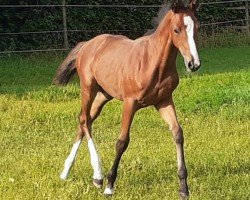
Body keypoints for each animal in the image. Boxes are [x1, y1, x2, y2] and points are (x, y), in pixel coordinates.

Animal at [53, 0, 201, 198]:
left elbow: (177, 133)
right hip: (88, 88)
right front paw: (109, 185)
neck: (153, 62)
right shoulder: (130, 103)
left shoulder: (164, 101)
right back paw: (97, 176)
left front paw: (184, 188)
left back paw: (66, 171)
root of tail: (87, 44)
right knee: (84, 119)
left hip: (103, 95)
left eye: (196, 27)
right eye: (176, 30)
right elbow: (122, 142)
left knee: (85, 121)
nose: (193, 64)